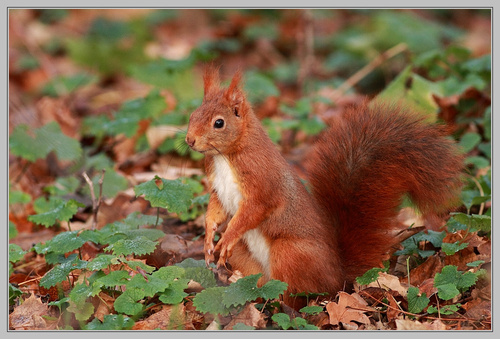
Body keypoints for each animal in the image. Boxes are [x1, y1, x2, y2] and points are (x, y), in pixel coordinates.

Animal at [185, 65, 464, 306]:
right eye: (192, 115)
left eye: (218, 123)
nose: (189, 140)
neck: (225, 156)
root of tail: (338, 276)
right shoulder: (218, 188)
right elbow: (215, 212)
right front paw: (209, 239)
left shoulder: (263, 184)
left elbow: (253, 211)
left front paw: (226, 237)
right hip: (247, 257)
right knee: (262, 284)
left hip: (289, 253)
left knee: (295, 295)